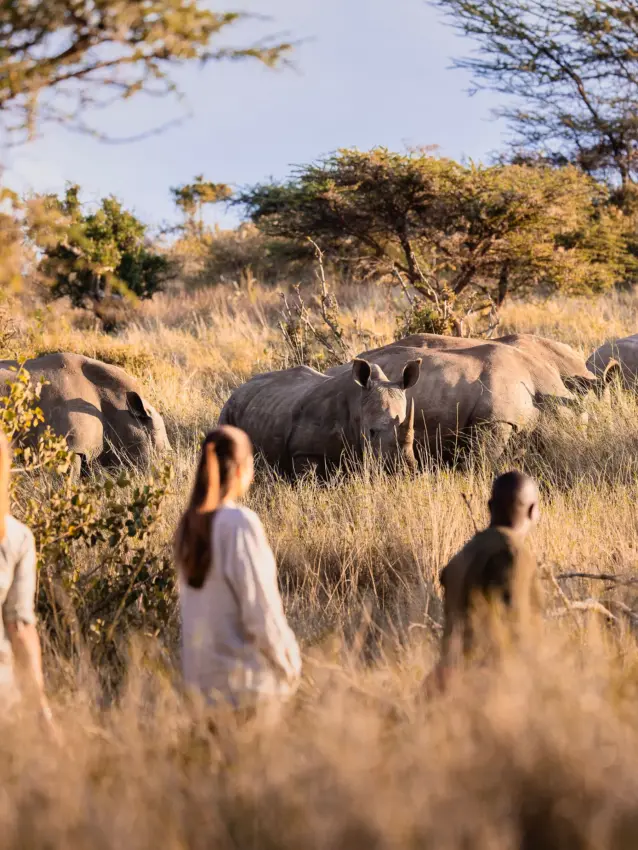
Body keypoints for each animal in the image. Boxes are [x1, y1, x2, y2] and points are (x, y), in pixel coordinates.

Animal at [218, 357, 422, 476]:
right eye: (371, 432)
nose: (404, 469)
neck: (358, 402)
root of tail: (238, 389)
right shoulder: (304, 451)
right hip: (228, 412)